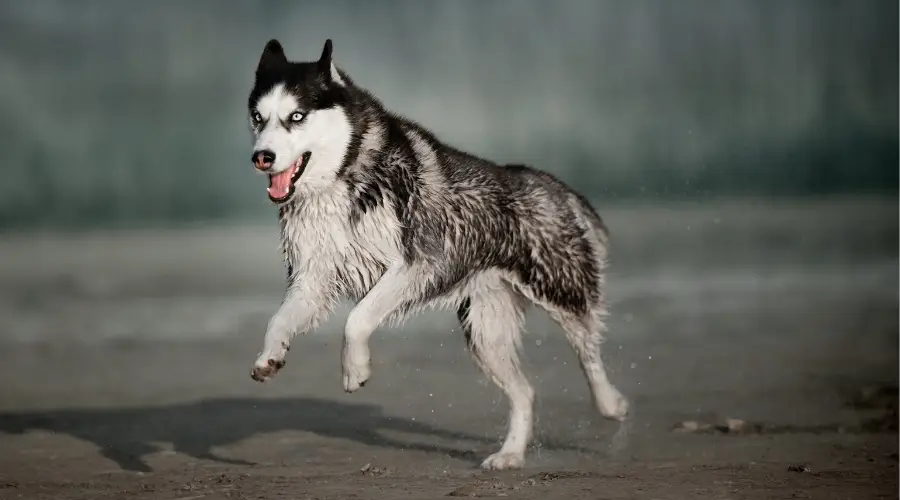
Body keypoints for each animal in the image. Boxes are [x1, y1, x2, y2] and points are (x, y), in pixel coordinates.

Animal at [244, 39, 624, 468]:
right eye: (258, 118)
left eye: (297, 116)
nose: (261, 157)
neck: (344, 176)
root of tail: (554, 185)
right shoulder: (313, 278)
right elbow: (277, 321)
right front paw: (269, 357)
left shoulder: (420, 263)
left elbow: (357, 319)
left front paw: (355, 369)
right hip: (485, 334)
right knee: (525, 392)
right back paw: (510, 454)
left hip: (560, 288)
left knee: (587, 350)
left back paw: (611, 403)